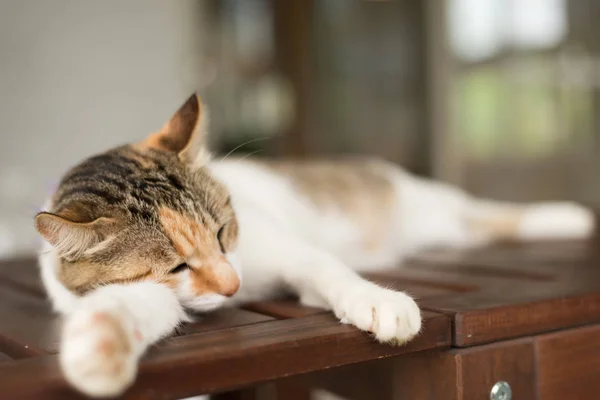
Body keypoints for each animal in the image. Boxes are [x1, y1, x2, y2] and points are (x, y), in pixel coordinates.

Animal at [35, 94, 592, 396]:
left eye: (223, 233)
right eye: (175, 268)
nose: (233, 286)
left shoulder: (285, 251)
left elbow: (329, 270)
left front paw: (379, 302)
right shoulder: (153, 296)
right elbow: (131, 310)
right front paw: (98, 346)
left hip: (430, 201)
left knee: (488, 211)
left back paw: (568, 216)